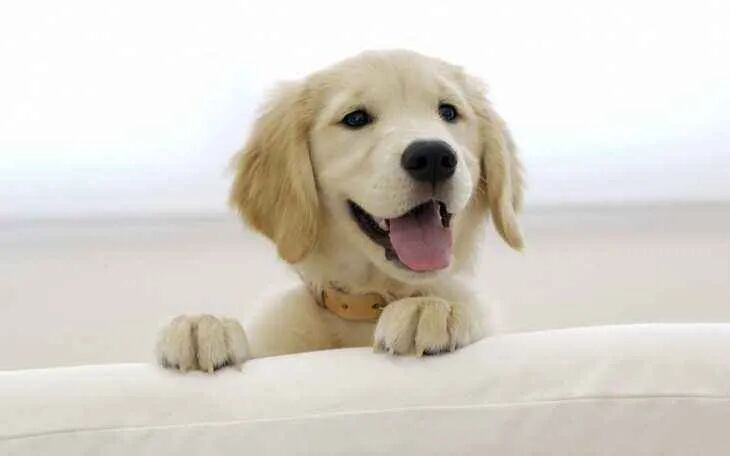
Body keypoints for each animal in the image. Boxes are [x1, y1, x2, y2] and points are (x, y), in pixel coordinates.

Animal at [155, 50, 523, 373]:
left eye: (448, 112)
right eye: (355, 118)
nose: (433, 157)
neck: (367, 306)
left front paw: (431, 307)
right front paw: (203, 326)